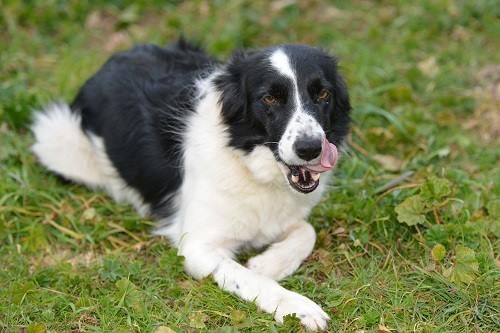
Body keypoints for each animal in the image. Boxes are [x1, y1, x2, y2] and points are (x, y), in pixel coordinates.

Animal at [31, 39, 350, 330]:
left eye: (323, 94)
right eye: (269, 98)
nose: (310, 148)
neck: (250, 165)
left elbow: (307, 232)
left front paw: (267, 263)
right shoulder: (198, 248)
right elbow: (248, 278)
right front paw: (297, 306)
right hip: (58, 140)